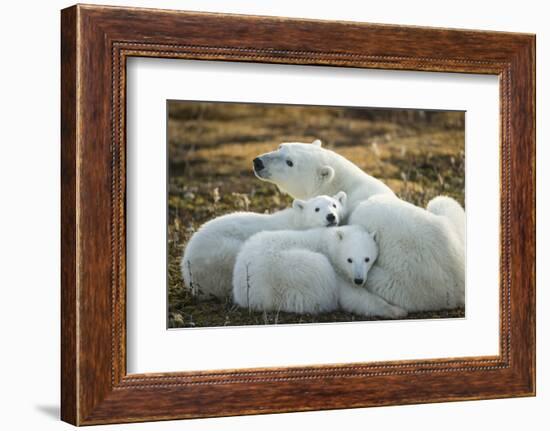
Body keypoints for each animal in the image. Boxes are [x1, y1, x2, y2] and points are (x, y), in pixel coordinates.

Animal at [231, 224, 408, 318]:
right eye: (349, 259)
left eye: (367, 259)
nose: (358, 280)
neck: (330, 244)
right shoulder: (336, 270)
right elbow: (354, 298)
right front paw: (398, 310)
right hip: (286, 271)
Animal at [254, 140, 466, 312]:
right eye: (280, 146)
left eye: (290, 162)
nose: (258, 162)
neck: (344, 184)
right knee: (441, 202)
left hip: (408, 284)